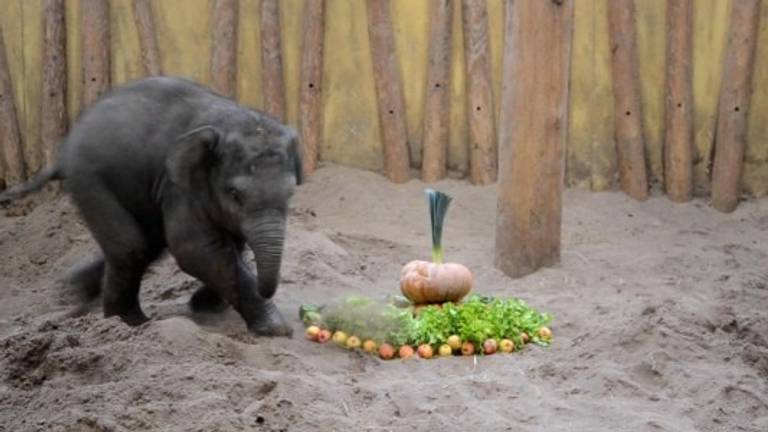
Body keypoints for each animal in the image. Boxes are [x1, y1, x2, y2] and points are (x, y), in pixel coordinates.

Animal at [3, 76, 304, 336]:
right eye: (235, 194)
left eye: (291, 193)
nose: (268, 291)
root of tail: (63, 153)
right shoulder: (179, 185)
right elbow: (195, 249)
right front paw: (275, 328)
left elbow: (226, 245)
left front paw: (206, 306)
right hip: (90, 179)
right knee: (131, 247)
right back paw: (129, 322)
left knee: (148, 245)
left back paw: (77, 291)